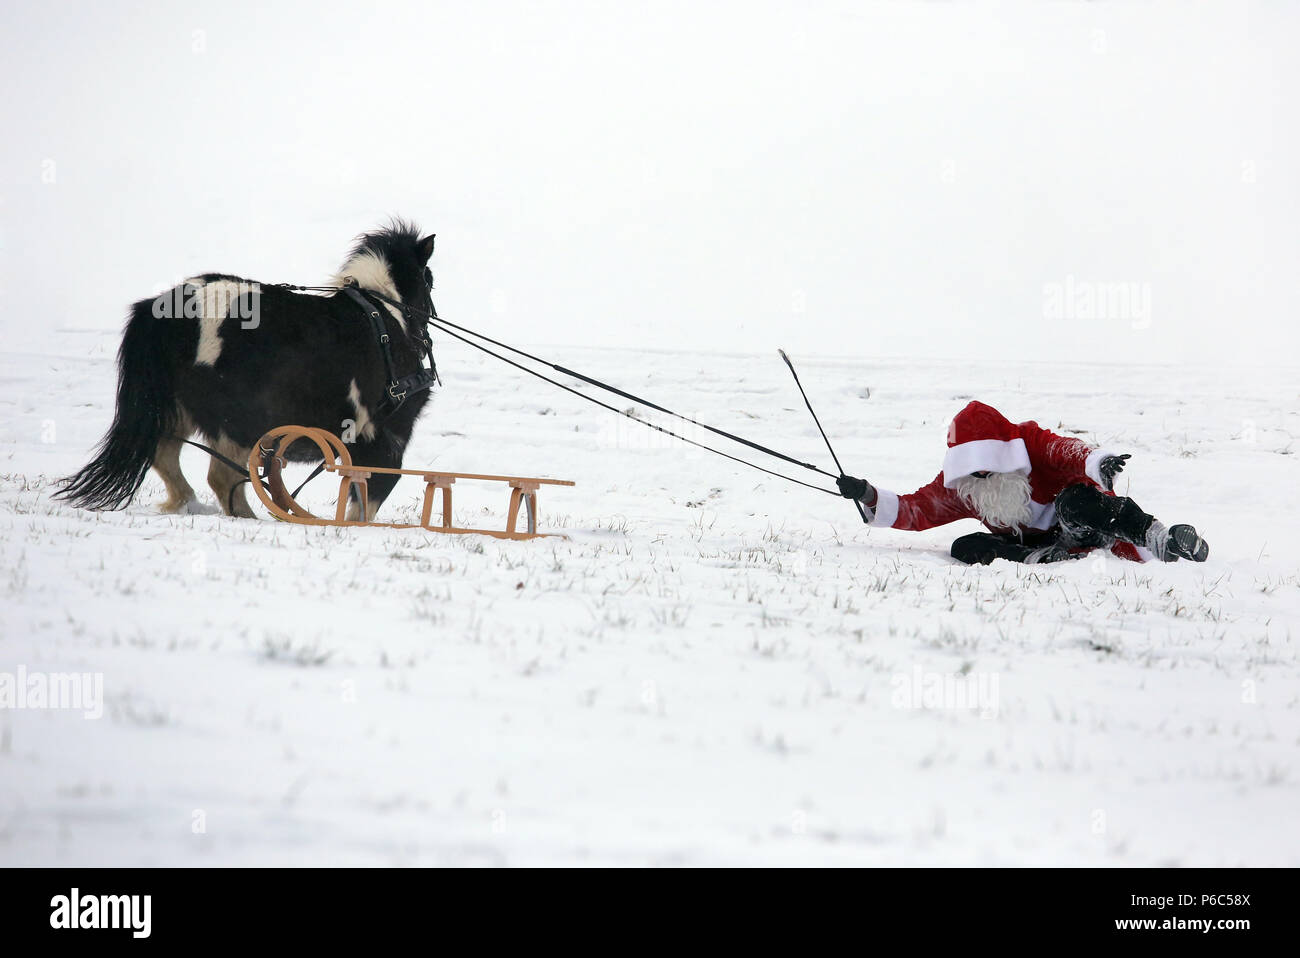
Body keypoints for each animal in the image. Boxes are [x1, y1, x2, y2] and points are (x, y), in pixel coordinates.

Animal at [55, 217, 439, 519]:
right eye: (429, 277)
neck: (388, 316)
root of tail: (164, 309)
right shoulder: (388, 434)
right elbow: (372, 492)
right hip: (238, 423)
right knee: (221, 476)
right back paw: (244, 515)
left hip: (176, 409)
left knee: (164, 455)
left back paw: (189, 504)